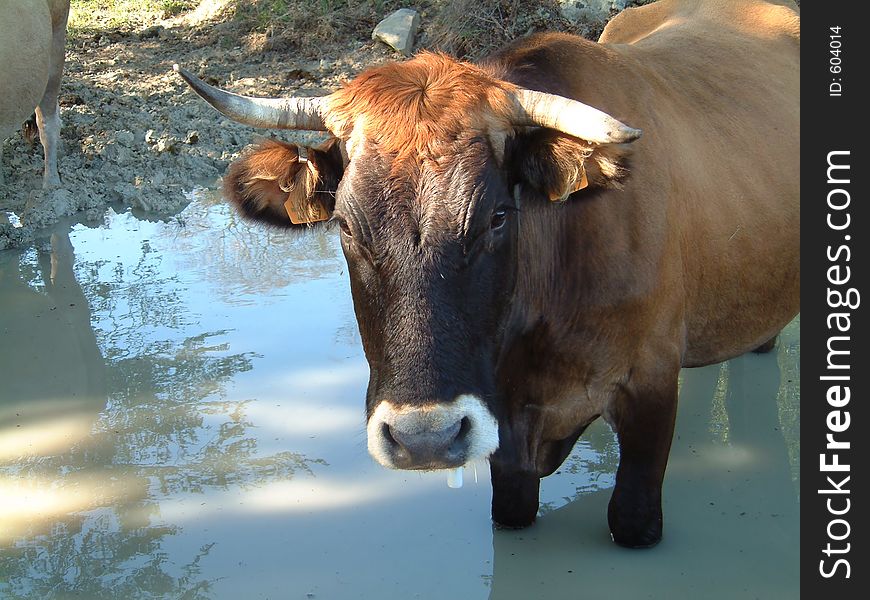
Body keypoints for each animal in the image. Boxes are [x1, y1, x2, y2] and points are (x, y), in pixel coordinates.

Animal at [174, 0, 800, 548]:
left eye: (498, 215)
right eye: (346, 225)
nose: (424, 438)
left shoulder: (648, 392)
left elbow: (630, 518)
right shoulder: (505, 444)